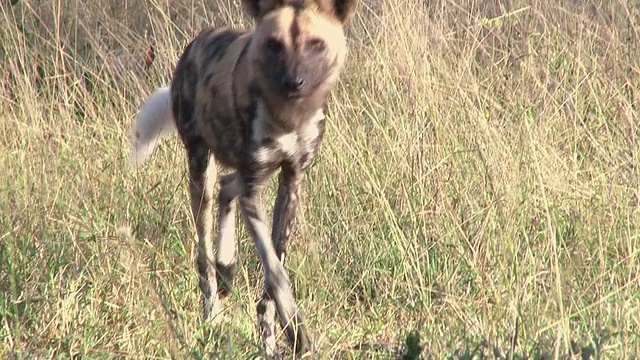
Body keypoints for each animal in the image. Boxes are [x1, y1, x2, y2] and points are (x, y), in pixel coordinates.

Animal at [127, 0, 358, 356]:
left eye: (316, 45)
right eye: (274, 45)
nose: (293, 82)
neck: (287, 118)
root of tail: (195, 45)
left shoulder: (290, 181)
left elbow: (276, 266)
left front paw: (273, 332)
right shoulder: (254, 191)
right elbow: (276, 273)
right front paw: (296, 334)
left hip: (246, 172)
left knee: (227, 187)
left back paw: (227, 266)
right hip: (201, 173)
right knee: (204, 252)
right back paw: (212, 311)